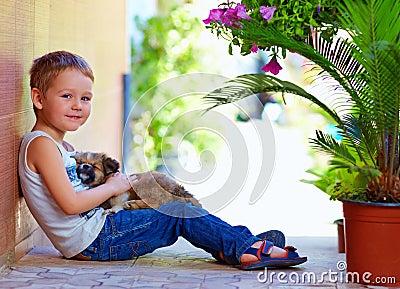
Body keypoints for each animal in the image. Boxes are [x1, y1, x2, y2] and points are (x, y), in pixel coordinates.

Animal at [72, 152, 202, 213]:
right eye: (79, 163)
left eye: (94, 166)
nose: (85, 166)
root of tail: (177, 188)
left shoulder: (123, 191)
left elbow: (116, 200)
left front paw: (113, 209)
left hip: (142, 184)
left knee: (159, 202)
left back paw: (133, 204)